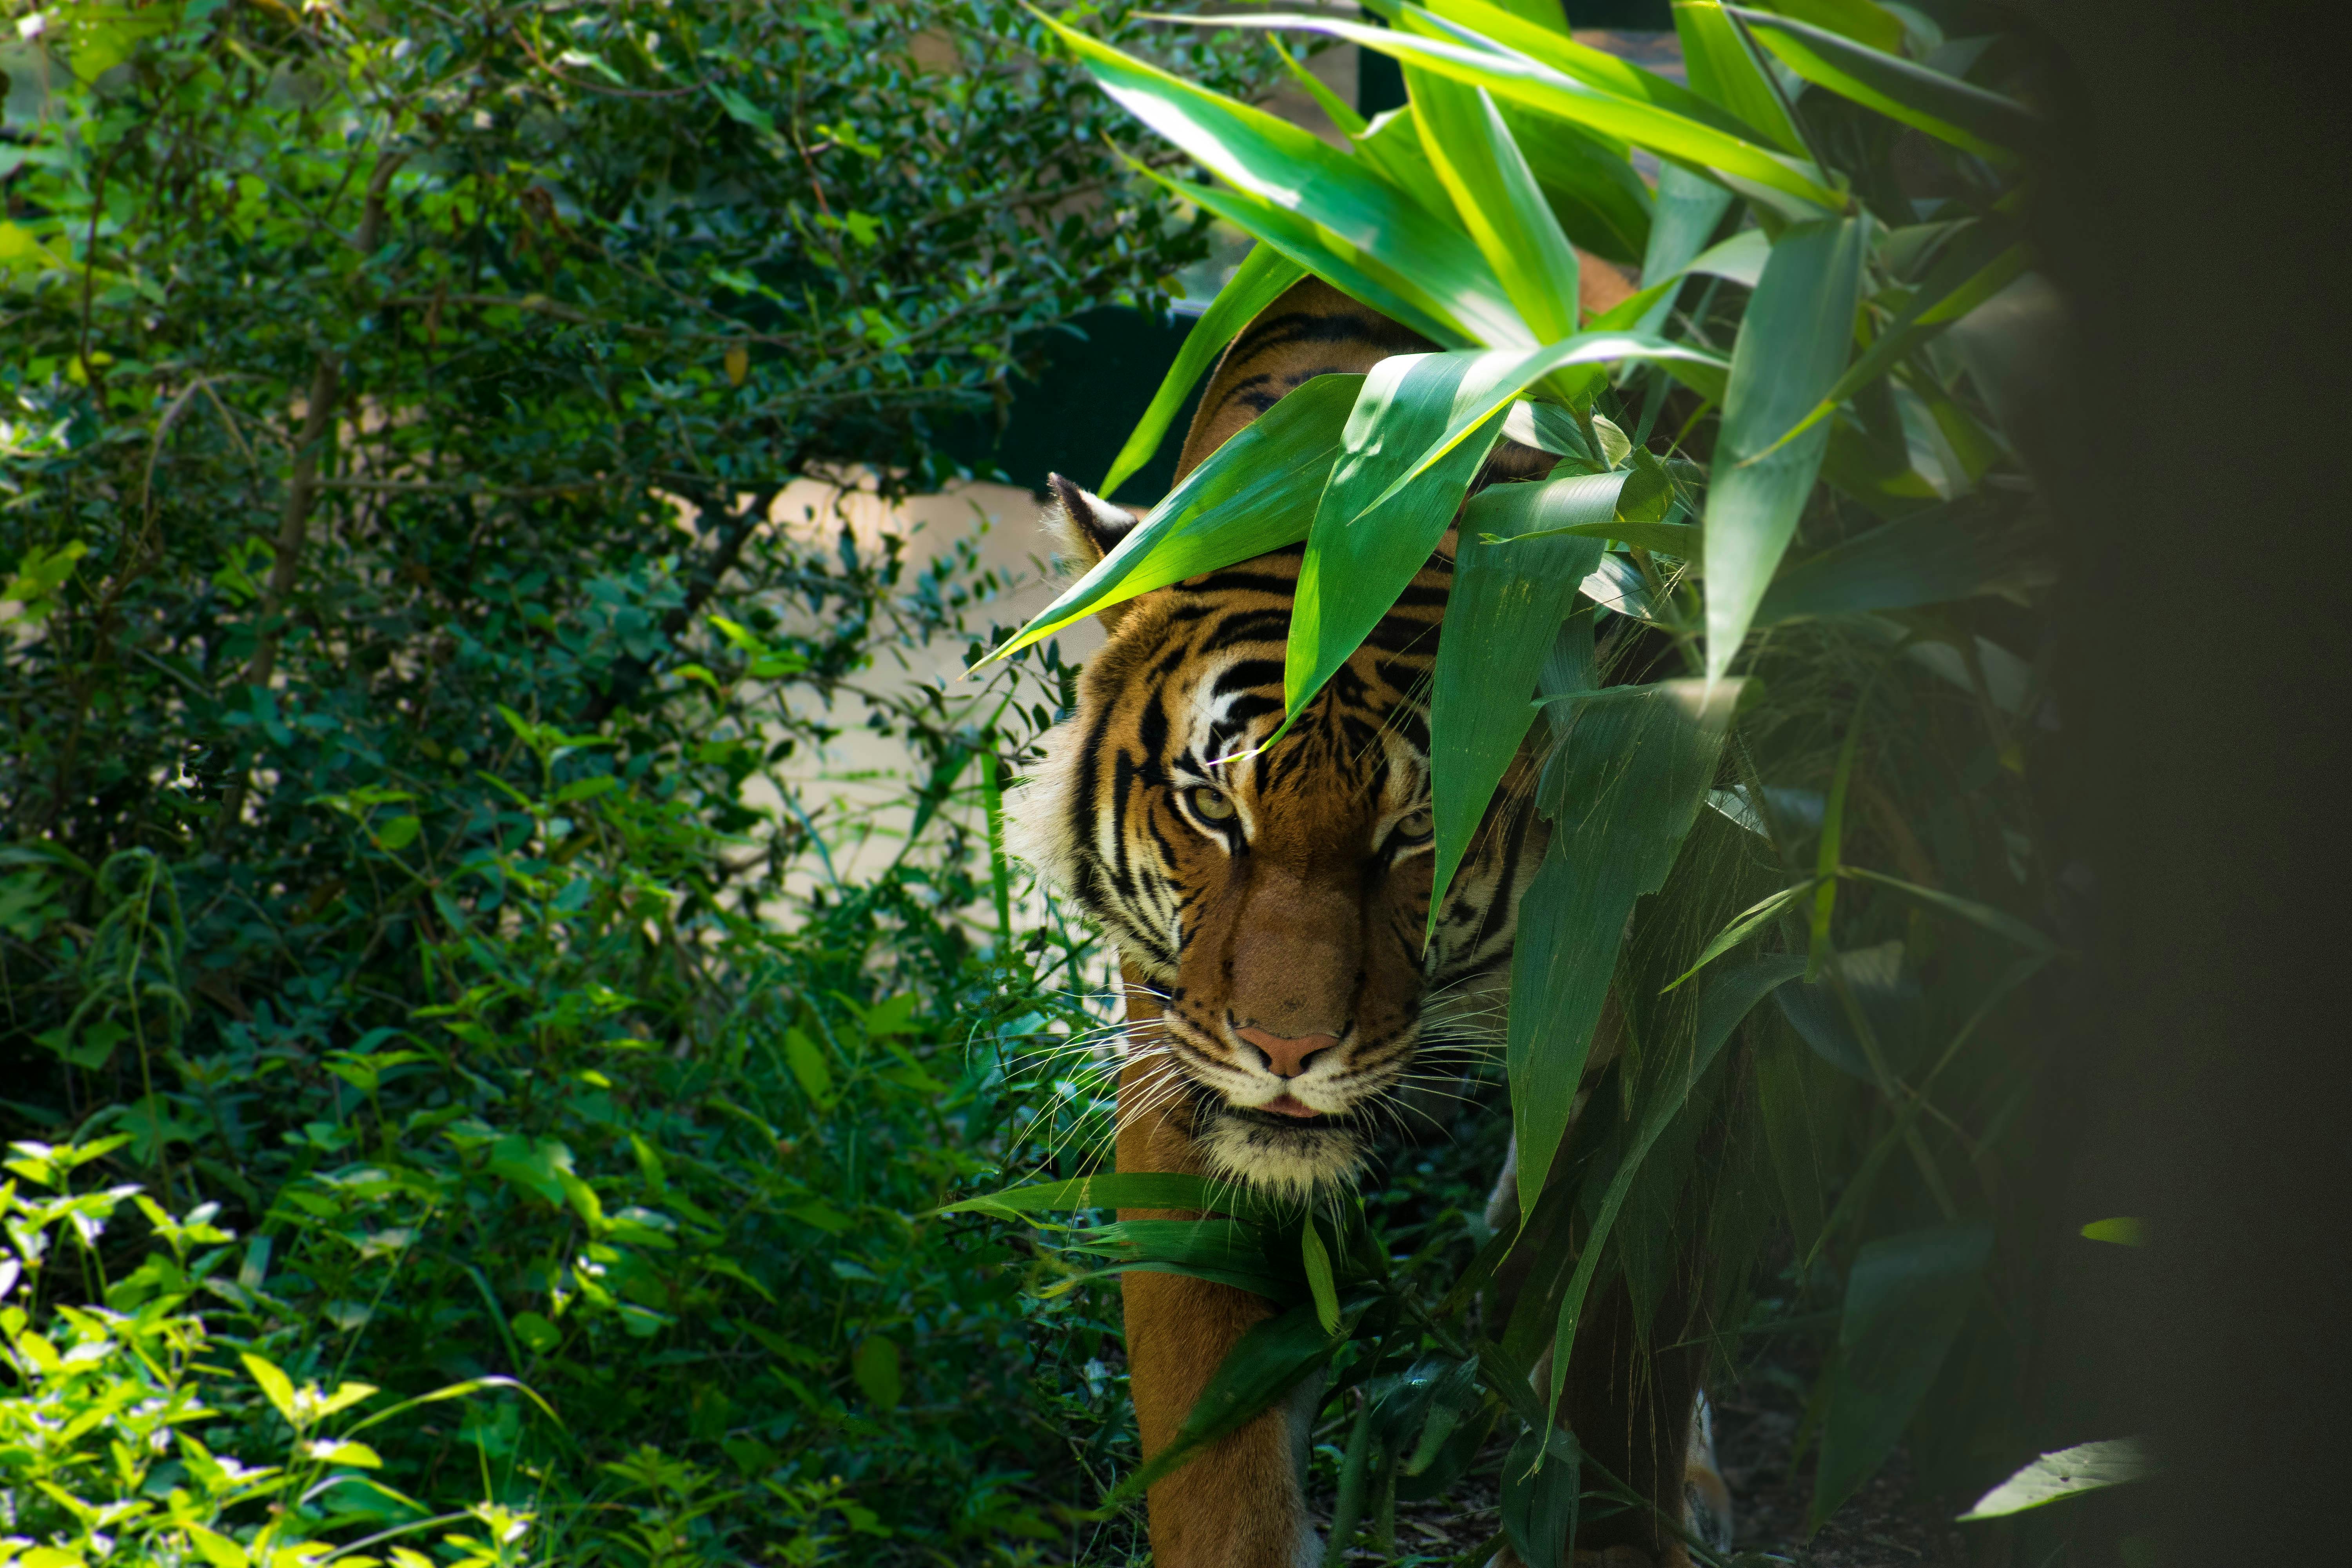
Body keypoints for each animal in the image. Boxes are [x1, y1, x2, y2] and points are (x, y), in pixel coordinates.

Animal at [1002, 276, 1740, 1561]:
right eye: (1213, 807)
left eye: (1419, 830)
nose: (1284, 1048)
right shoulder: (1179, 1072)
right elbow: (1216, 1467)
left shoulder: (1641, 1034)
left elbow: (1622, 1338)